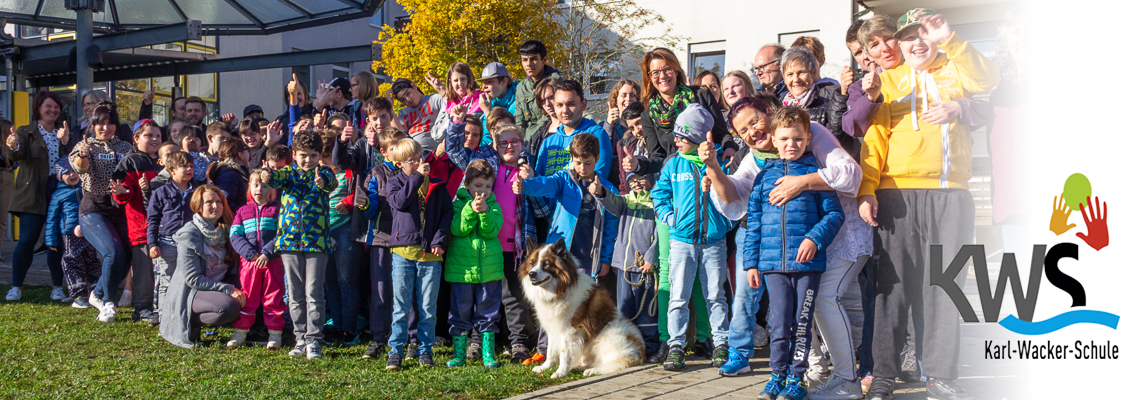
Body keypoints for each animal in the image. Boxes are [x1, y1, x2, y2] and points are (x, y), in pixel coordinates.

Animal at [522, 238, 647, 378]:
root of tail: (641, 354)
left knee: (617, 364)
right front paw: (545, 367)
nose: (531, 274)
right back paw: (579, 367)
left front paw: (560, 372)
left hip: (608, 334)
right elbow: (551, 351)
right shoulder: (553, 329)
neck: (560, 290)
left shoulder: (570, 331)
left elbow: (564, 354)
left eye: (546, 264)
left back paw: (592, 370)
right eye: (532, 263)